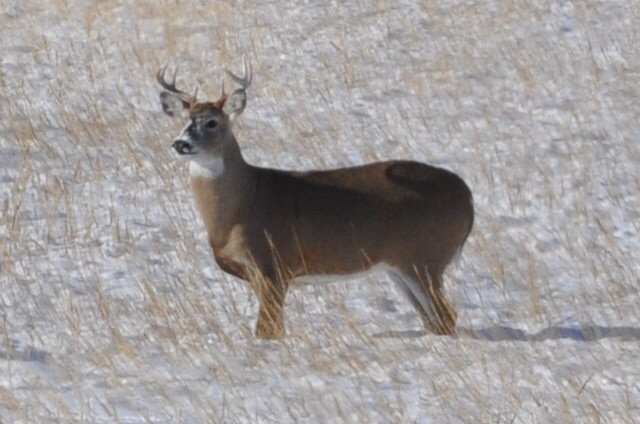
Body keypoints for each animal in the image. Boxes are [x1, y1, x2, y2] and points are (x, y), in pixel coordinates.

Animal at [158, 57, 472, 342]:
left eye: (212, 122)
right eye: (184, 121)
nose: (180, 143)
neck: (241, 207)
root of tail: (468, 198)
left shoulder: (275, 264)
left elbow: (267, 331)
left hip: (425, 256)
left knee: (446, 316)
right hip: (399, 265)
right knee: (434, 320)